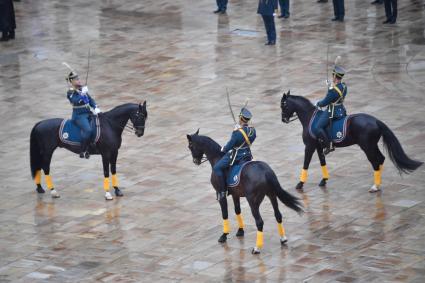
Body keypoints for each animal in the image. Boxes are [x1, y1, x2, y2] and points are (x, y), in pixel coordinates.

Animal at [278, 92, 420, 194]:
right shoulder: (318, 146)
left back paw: (375, 186)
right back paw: (378, 184)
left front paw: (300, 184)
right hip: (372, 145)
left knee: (375, 161)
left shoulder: (309, 146)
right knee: (380, 159)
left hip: (367, 146)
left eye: (283, 105)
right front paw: (324, 180)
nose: (283, 119)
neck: (309, 118)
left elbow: (306, 163)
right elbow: (322, 162)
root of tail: (375, 120)